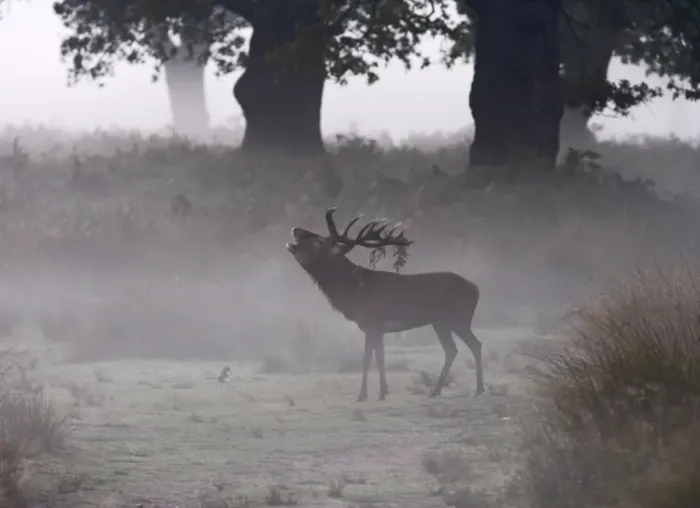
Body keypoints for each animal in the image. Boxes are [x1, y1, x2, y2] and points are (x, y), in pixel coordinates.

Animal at [286, 207, 484, 402]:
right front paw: (382, 392)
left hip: (458, 318)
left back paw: (478, 389)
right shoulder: (378, 328)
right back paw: (435, 391)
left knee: (475, 344)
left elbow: (368, 358)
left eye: (318, 241)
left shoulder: (372, 323)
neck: (353, 292)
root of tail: (475, 288)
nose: (295, 229)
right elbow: (379, 357)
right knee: (452, 350)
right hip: (440, 323)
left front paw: (362, 395)